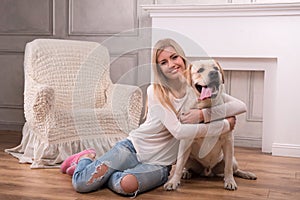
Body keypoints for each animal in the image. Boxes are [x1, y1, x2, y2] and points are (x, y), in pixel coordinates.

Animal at [163, 59, 256, 191]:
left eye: (216, 68)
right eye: (200, 70)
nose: (213, 73)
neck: (206, 106)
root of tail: (207, 171)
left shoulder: (228, 141)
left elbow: (228, 168)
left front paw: (230, 181)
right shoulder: (186, 141)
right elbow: (180, 165)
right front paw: (173, 182)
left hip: (232, 160)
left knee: (234, 169)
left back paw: (246, 174)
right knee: (185, 165)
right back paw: (186, 173)